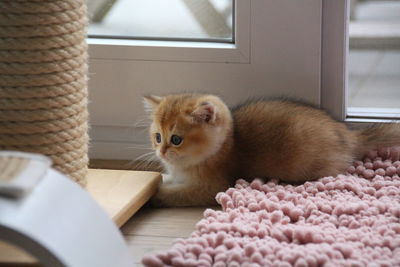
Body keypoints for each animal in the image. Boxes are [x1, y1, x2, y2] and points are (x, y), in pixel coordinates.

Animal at [144, 95, 400, 208]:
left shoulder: (213, 187)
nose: (161, 152)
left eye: (176, 139)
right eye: (158, 137)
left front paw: (157, 194)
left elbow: (179, 193)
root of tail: (348, 134)